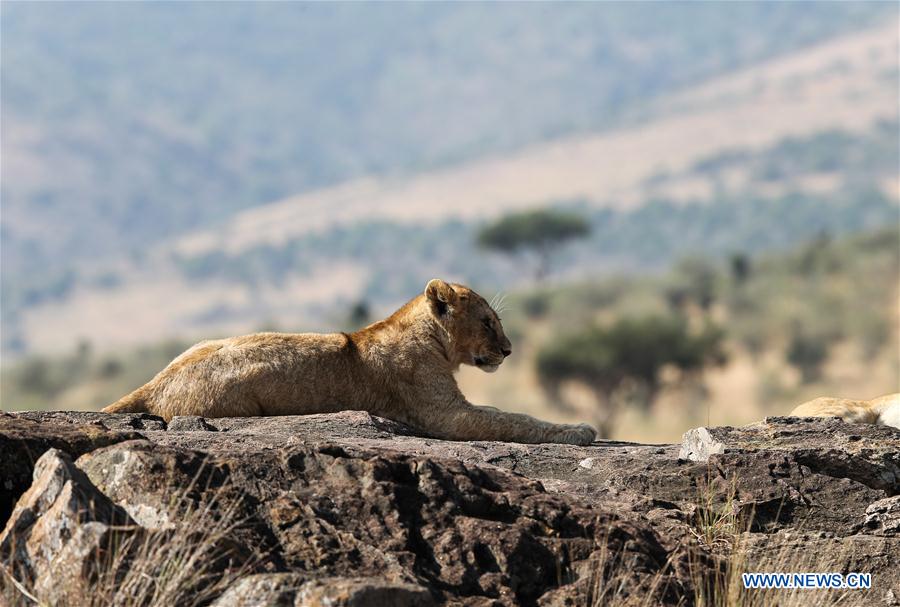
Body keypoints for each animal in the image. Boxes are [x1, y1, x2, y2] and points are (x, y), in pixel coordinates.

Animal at [103, 280, 596, 446]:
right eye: (489, 322)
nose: (509, 350)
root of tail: (153, 383)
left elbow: (505, 414)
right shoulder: (445, 415)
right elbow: (512, 419)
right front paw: (580, 430)